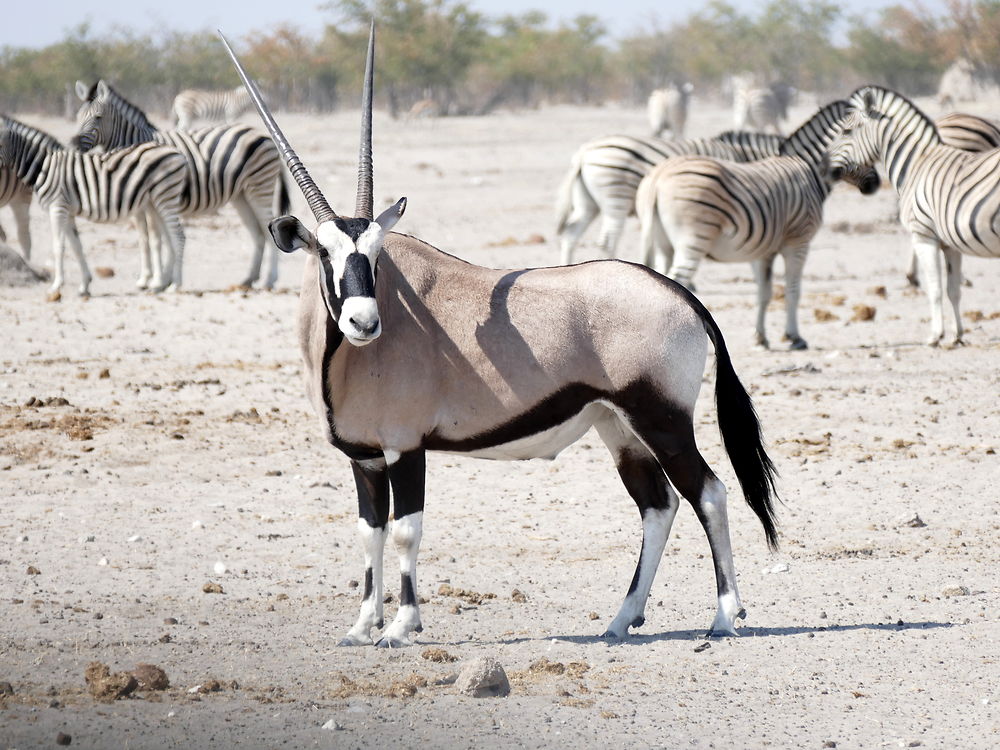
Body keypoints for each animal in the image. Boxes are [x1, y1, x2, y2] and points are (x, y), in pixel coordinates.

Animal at [0, 113, 187, 298]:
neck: (44, 168)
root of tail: (177, 152)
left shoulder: (57, 208)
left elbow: (58, 246)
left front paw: (56, 286)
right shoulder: (67, 212)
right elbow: (76, 246)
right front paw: (84, 285)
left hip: (165, 197)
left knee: (178, 236)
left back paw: (175, 285)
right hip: (154, 201)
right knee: (168, 238)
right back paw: (160, 284)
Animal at [74, 81, 290, 290]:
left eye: (98, 117)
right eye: (77, 117)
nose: (75, 144)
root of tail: (266, 136)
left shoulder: (149, 202)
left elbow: (156, 238)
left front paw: (158, 279)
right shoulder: (142, 205)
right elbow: (146, 239)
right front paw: (152, 278)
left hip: (260, 186)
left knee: (268, 228)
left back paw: (269, 280)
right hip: (241, 195)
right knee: (258, 233)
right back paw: (249, 279)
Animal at [636, 99, 880, 352]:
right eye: (864, 143)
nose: (875, 184)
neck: (808, 169)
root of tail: (658, 177)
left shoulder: (763, 251)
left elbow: (764, 292)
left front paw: (760, 338)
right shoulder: (798, 242)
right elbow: (793, 290)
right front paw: (795, 337)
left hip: (662, 242)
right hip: (694, 239)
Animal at [832, 86, 1000, 348]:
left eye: (846, 131)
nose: (824, 168)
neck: (916, 164)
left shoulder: (924, 236)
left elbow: (935, 289)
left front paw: (935, 335)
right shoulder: (950, 244)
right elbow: (952, 290)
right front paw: (957, 335)